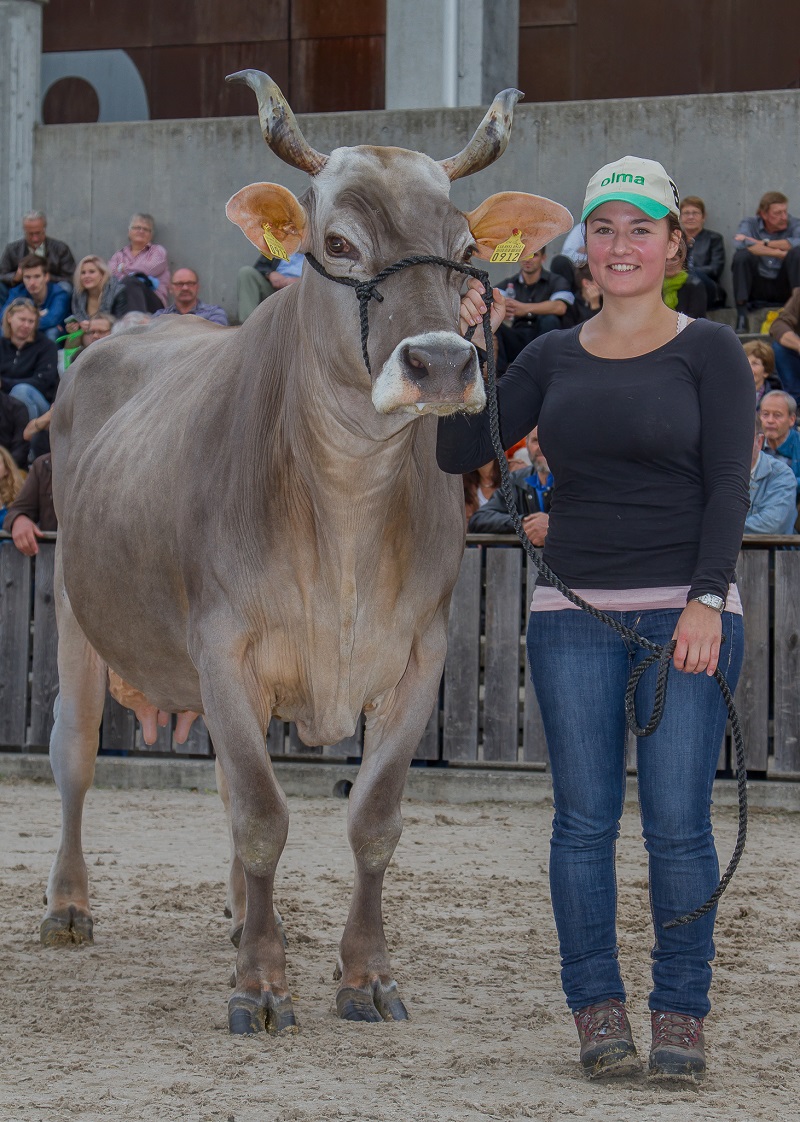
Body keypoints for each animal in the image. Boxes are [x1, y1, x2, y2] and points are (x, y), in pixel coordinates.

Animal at [41, 70, 572, 1034]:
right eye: (338, 242)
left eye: (465, 249)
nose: (443, 364)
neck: (348, 507)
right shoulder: (223, 644)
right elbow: (262, 815)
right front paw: (260, 984)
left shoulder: (420, 654)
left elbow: (371, 819)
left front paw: (364, 975)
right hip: (71, 601)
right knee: (76, 749)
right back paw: (68, 906)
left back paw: (234, 914)